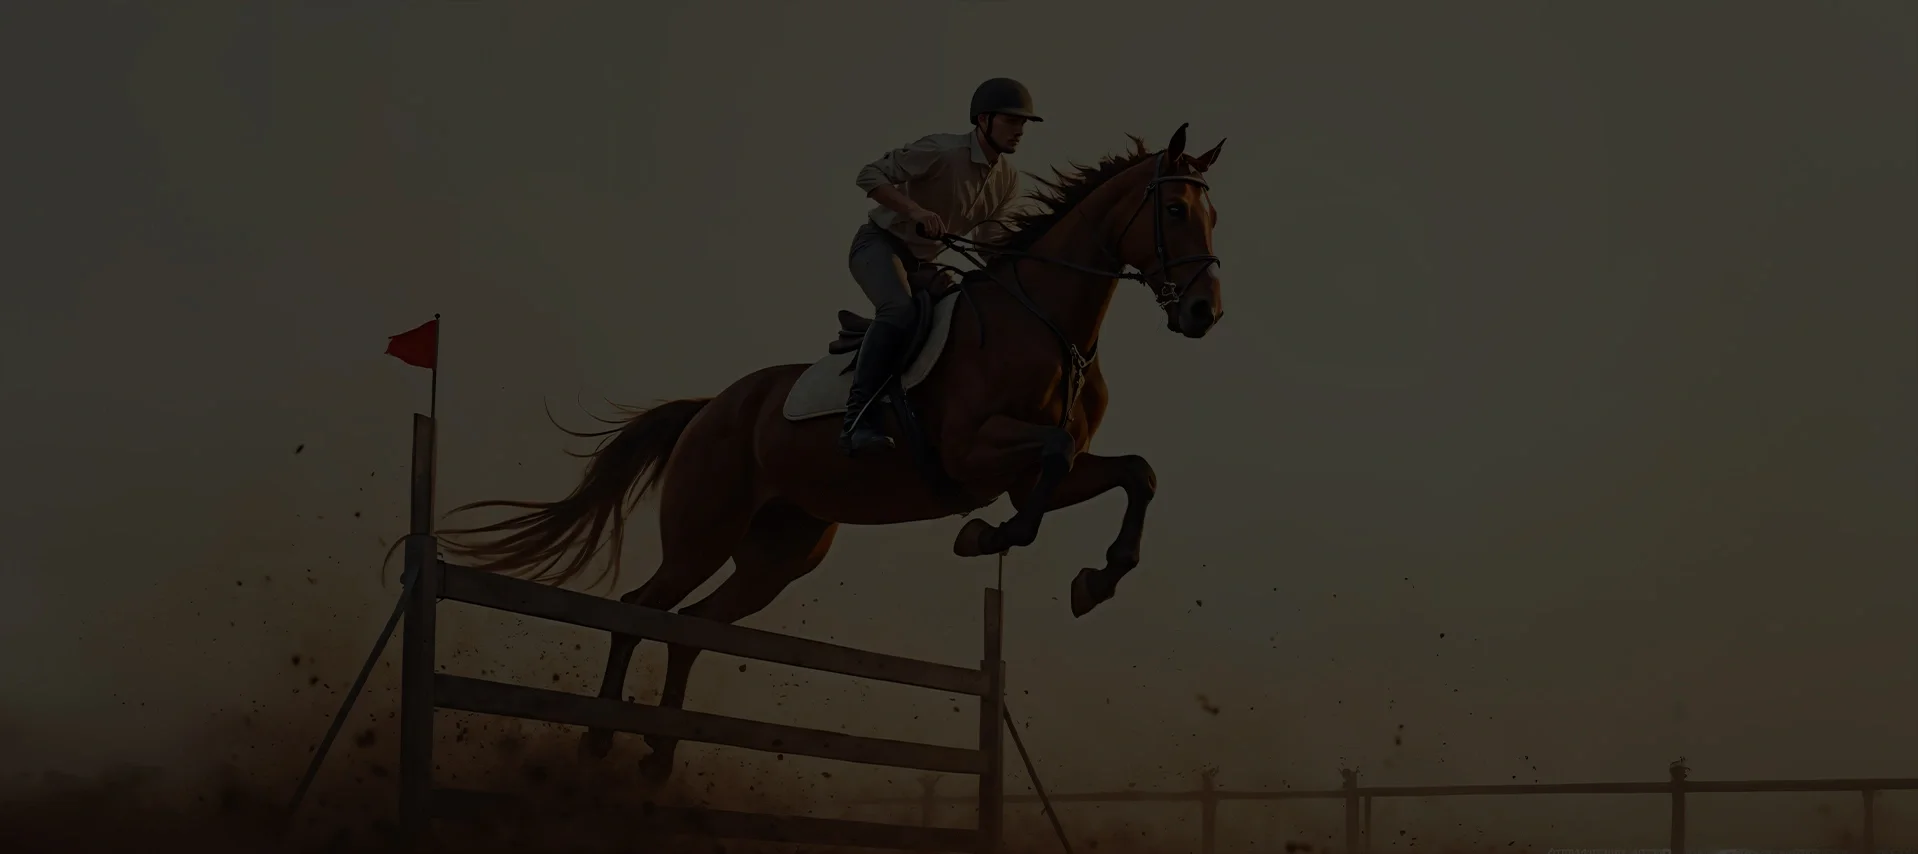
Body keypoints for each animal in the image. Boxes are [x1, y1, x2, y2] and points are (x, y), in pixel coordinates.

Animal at [439, 123, 1227, 783]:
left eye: (1214, 216)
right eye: (1176, 210)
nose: (1204, 313)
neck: (1047, 326)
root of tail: (712, 408)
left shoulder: (1030, 474)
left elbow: (1136, 474)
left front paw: (1097, 580)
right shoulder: (977, 452)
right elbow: (1056, 458)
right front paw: (985, 537)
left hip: (781, 554)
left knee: (692, 627)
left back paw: (659, 754)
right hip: (703, 533)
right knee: (641, 610)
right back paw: (599, 738)